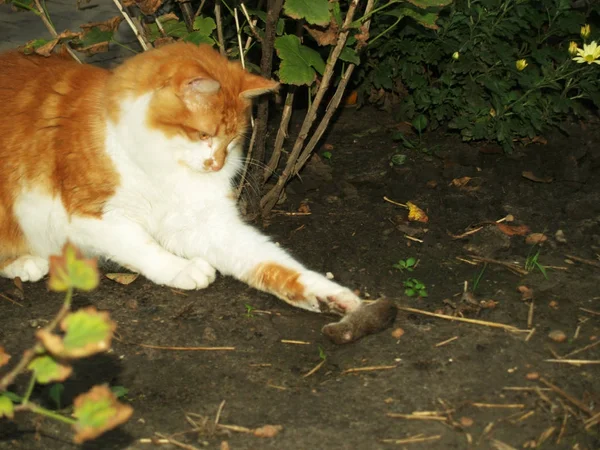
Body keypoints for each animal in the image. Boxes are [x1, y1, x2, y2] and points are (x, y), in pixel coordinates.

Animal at [0, 42, 360, 316]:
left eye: (232, 139)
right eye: (204, 135)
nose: (217, 164)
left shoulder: (203, 224)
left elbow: (273, 263)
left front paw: (327, 294)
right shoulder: (89, 216)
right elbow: (140, 244)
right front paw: (181, 268)